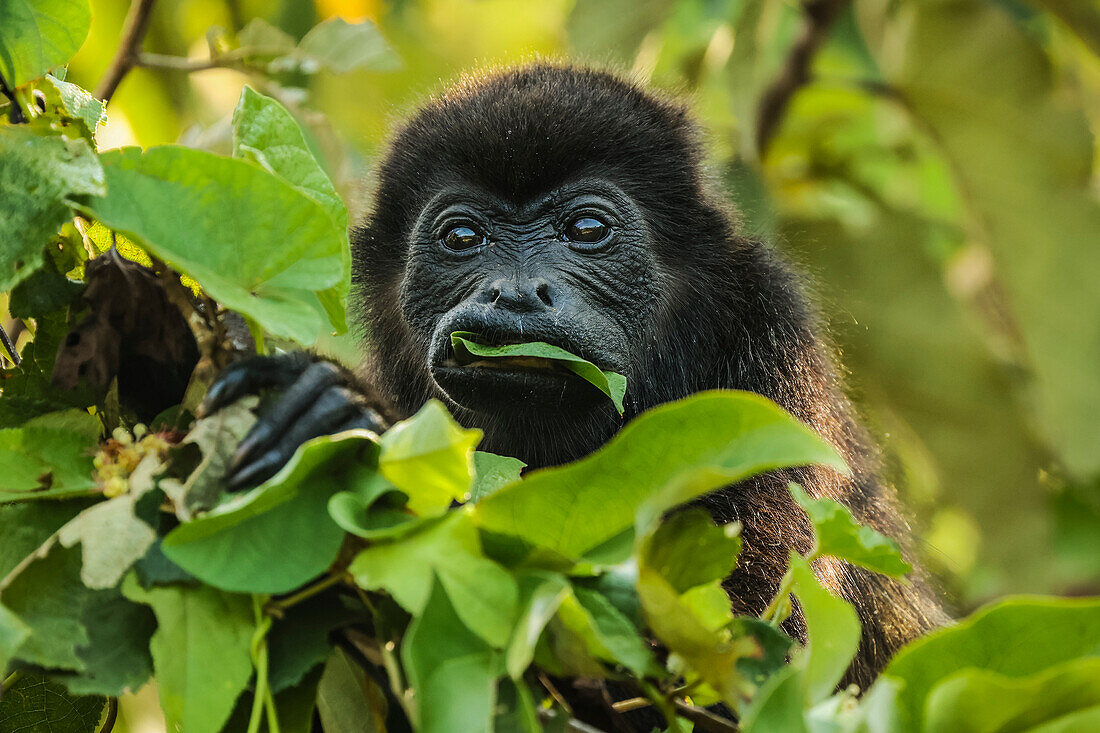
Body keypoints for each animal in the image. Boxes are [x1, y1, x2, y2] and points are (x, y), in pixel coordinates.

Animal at [204, 67, 946, 695]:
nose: (515, 292)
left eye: (587, 228)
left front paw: (340, 415)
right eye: (462, 237)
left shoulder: (775, 370)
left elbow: (739, 650)